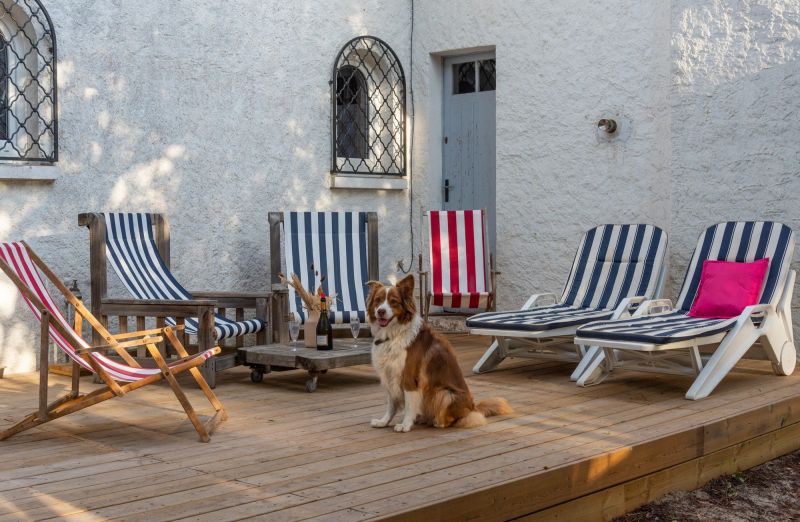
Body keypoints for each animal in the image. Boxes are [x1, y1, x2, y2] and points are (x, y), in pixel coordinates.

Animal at [366, 272, 510, 430]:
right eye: (378, 300)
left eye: (394, 302)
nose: (380, 311)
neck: (393, 334)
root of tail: (473, 407)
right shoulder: (389, 374)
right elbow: (391, 404)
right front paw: (384, 421)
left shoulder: (409, 377)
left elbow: (409, 405)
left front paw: (405, 425)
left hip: (444, 393)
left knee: (456, 419)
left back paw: (436, 421)